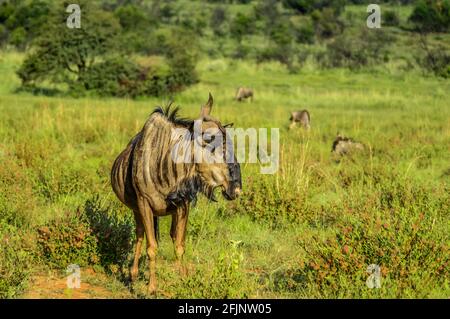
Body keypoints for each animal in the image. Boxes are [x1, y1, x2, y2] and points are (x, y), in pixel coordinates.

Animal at [110, 93, 241, 296]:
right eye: (210, 141)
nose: (236, 189)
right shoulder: (144, 205)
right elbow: (152, 247)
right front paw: (151, 288)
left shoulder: (182, 205)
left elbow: (179, 245)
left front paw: (185, 280)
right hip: (136, 210)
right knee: (139, 234)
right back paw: (133, 275)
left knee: (170, 235)